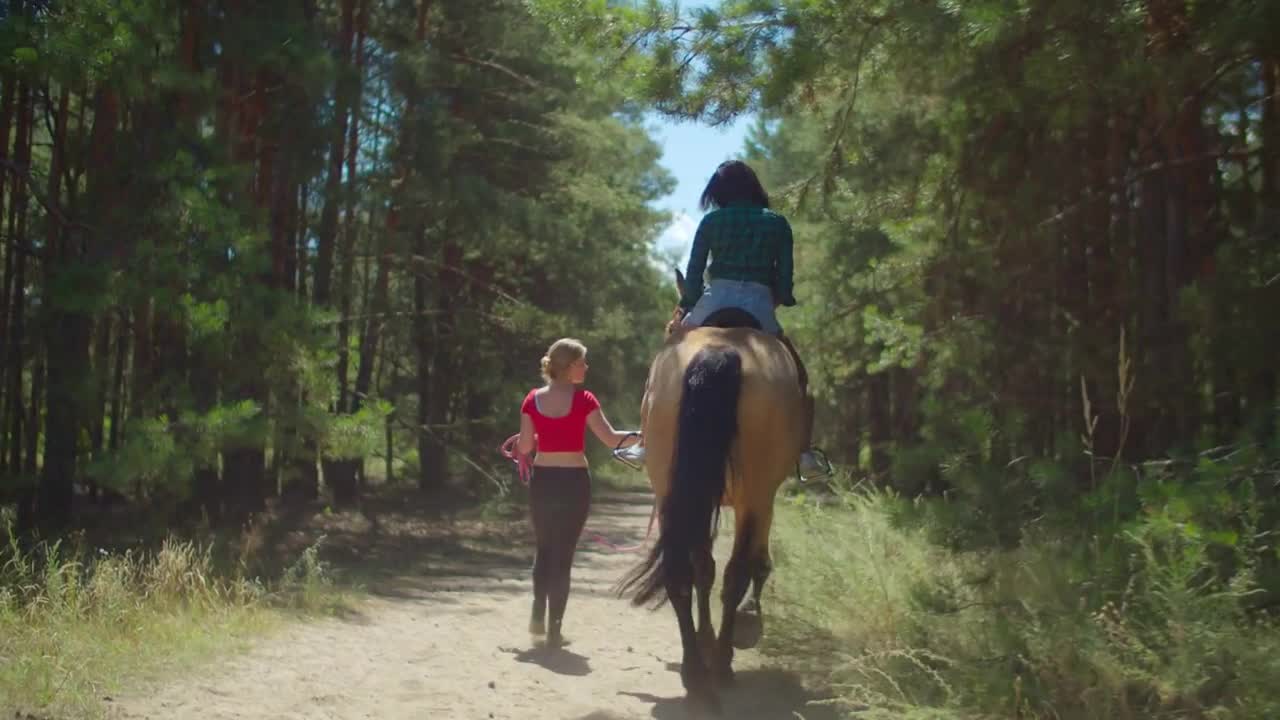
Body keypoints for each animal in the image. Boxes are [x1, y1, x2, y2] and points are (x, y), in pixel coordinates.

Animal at [616, 270, 803, 712]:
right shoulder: (761, 500)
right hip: (753, 496)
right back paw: (719, 666)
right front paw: (743, 626)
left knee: (680, 572)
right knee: (735, 573)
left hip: (673, 492)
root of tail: (719, 353)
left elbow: (703, 568)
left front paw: (705, 639)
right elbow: (752, 564)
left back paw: (695, 674)